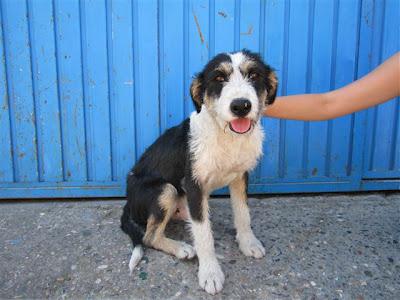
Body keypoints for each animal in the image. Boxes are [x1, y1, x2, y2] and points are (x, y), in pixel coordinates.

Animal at [121, 49, 278, 296]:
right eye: (219, 78)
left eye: (254, 75)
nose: (241, 106)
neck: (226, 136)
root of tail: (128, 202)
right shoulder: (193, 184)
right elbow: (204, 235)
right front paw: (210, 273)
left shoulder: (240, 177)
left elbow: (243, 213)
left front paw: (248, 243)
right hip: (166, 190)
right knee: (149, 236)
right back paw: (181, 248)